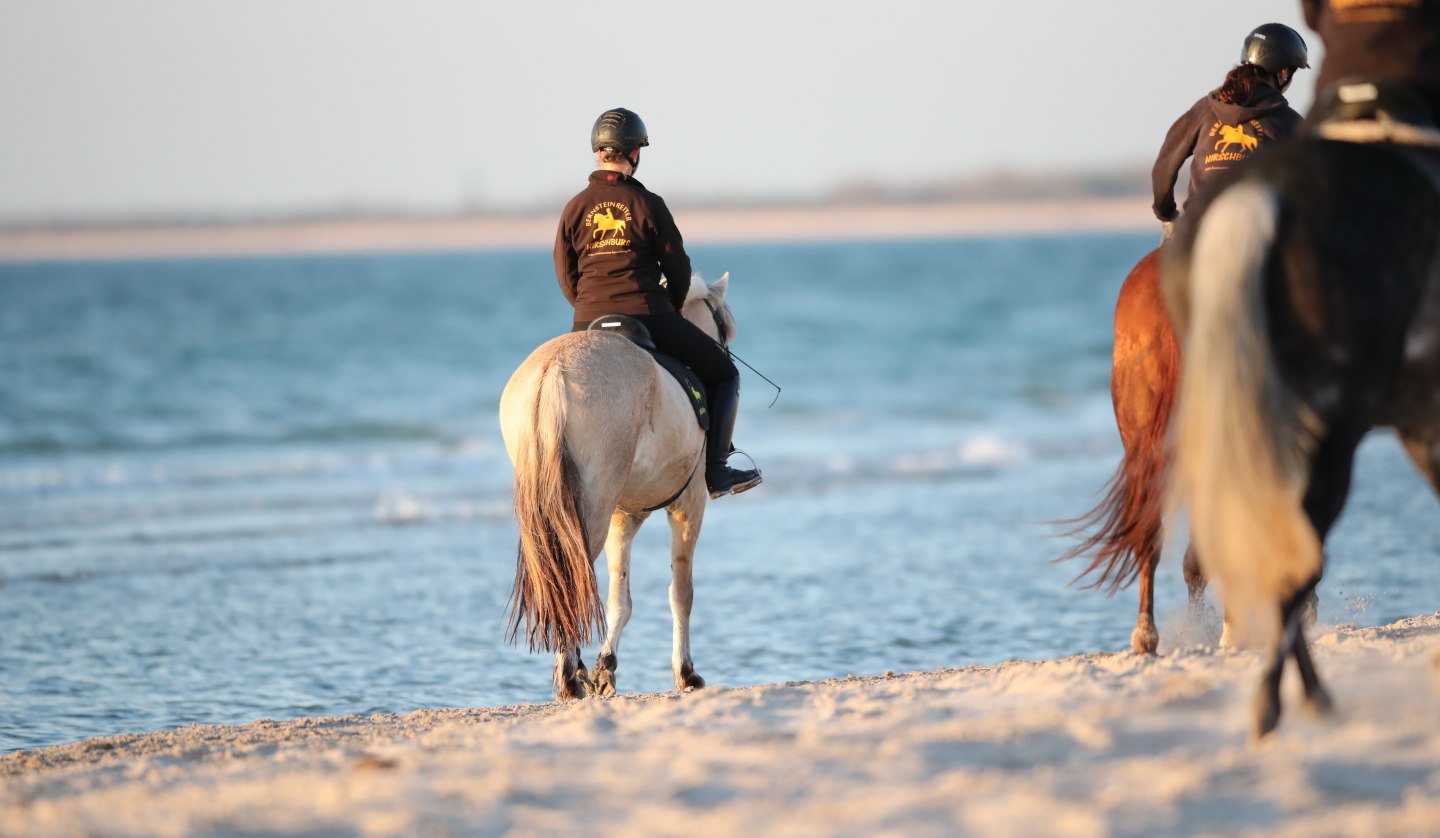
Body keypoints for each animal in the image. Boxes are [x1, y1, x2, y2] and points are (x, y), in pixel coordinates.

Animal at [498, 273, 743, 702]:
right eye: (724, 331)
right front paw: (685, 673)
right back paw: (570, 677)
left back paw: (573, 675)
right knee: (571, 578)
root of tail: (553, 373)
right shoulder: (688, 506)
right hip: (591, 509)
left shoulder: (623, 517)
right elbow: (680, 594)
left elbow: (619, 600)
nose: (725, 352)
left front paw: (605, 668)